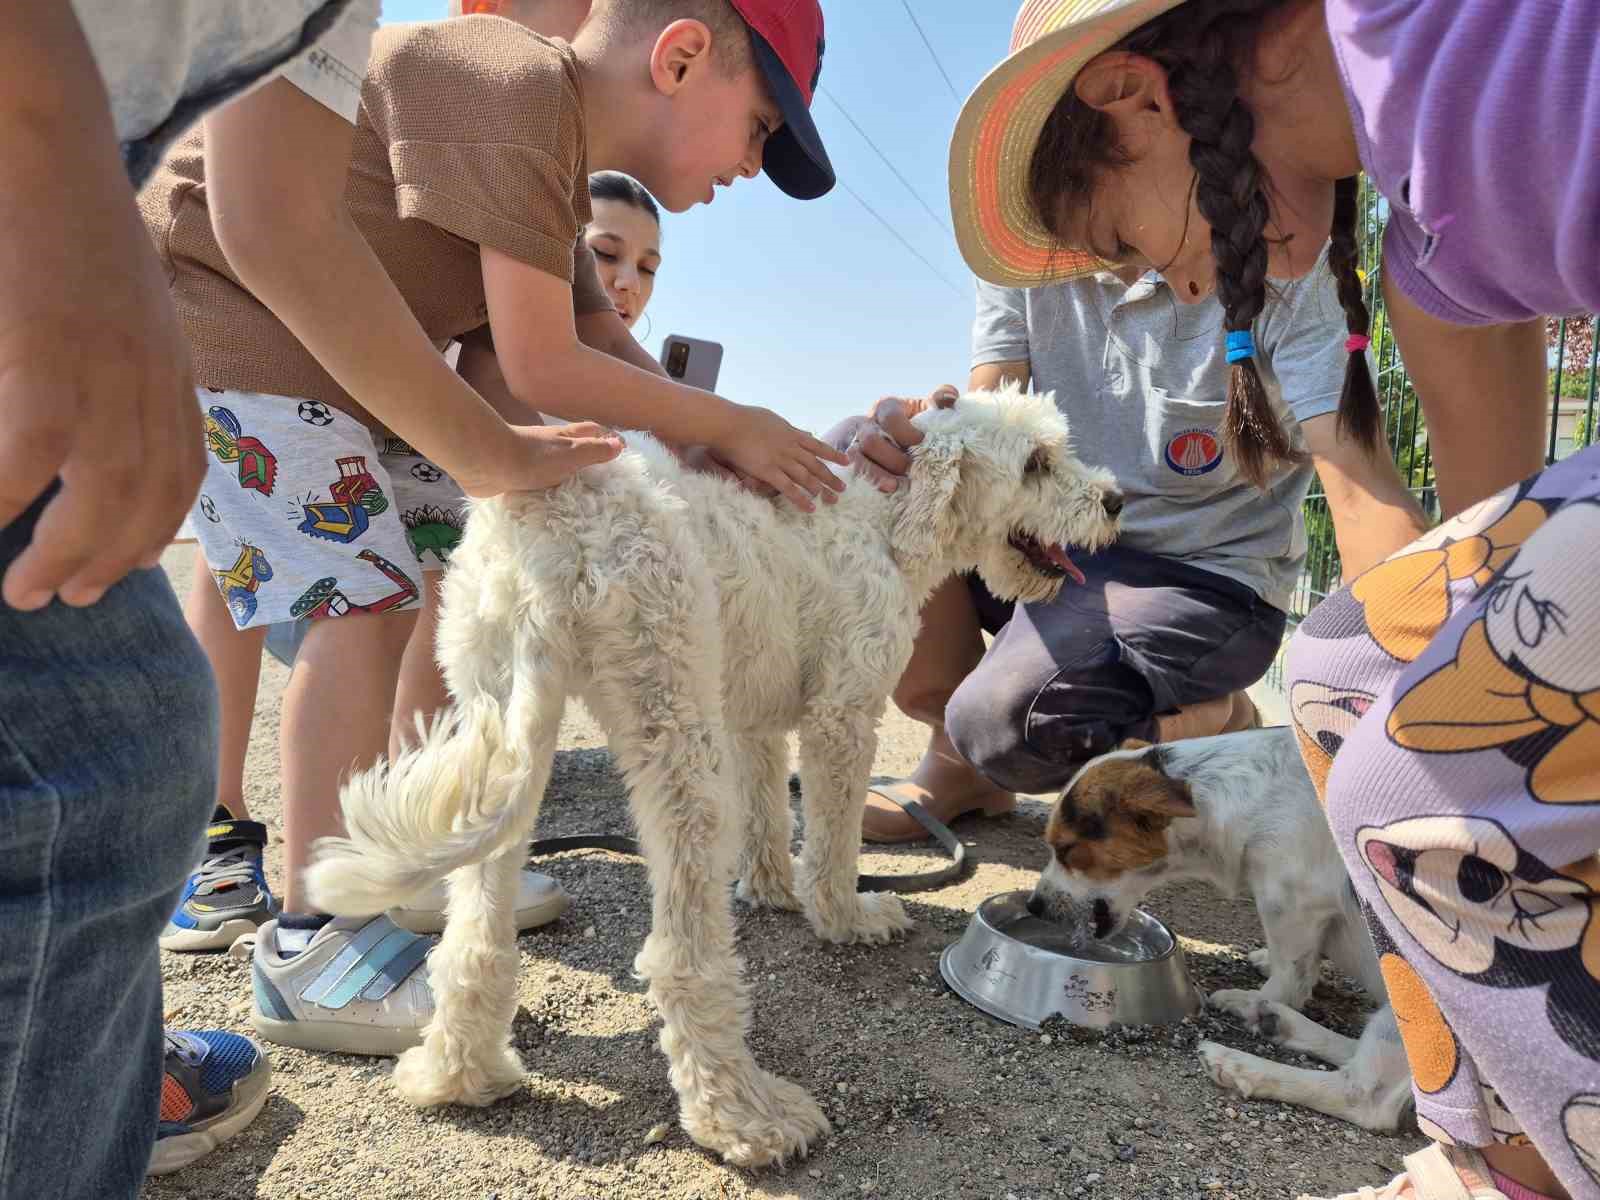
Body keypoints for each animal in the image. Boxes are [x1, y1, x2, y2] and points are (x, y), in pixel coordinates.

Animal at [305, 390, 1120, 1171]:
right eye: (1038, 462)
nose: (1114, 500)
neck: (885, 518)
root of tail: (554, 525)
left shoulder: (751, 720)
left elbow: (769, 813)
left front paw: (771, 891)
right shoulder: (842, 716)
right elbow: (832, 843)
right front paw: (846, 918)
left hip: (501, 718)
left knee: (473, 938)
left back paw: (457, 1074)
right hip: (672, 729)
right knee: (681, 957)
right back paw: (745, 1118)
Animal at [1024, 729, 1414, 1132]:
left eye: (1067, 849)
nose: (1033, 905)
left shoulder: (1291, 904)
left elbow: (1291, 977)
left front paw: (1266, 995)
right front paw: (1266, 975)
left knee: (1366, 1098)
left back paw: (1243, 1059)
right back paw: (1273, 1020)